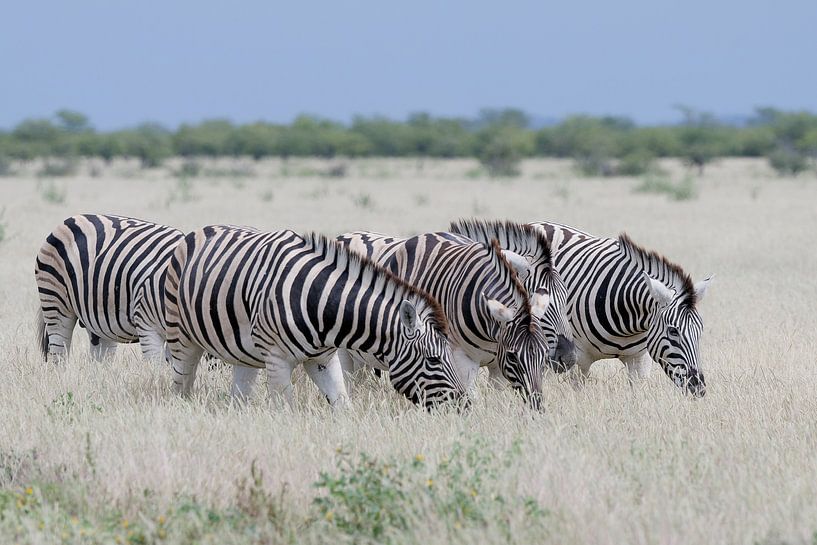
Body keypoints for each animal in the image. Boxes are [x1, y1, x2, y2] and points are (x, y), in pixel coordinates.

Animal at [34, 214, 184, 362]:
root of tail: (70, 220)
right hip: (55, 302)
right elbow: (156, 365)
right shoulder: (147, 325)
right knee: (58, 355)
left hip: (99, 322)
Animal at [163, 225, 467, 409]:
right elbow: (284, 411)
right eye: (433, 359)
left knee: (239, 397)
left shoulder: (323, 360)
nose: (464, 405)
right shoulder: (277, 360)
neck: (323, 309)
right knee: (181, 386)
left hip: (243, 354)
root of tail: (196, 232)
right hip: (182, 337)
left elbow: (342, 405)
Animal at [336, 229, 565, 409]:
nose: (536, 407)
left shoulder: (497, 365)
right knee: (347, 382)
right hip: (343, 351)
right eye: (513, 356)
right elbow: (470, 396)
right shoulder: (459, 358)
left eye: (544, 354)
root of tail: (346, 235)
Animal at [525, 221, 712, 396]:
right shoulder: (579, 359)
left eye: (700, 330)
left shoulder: (639, 361)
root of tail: (539, 224)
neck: (628, 323)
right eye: (673, 331)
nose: (698, 387)